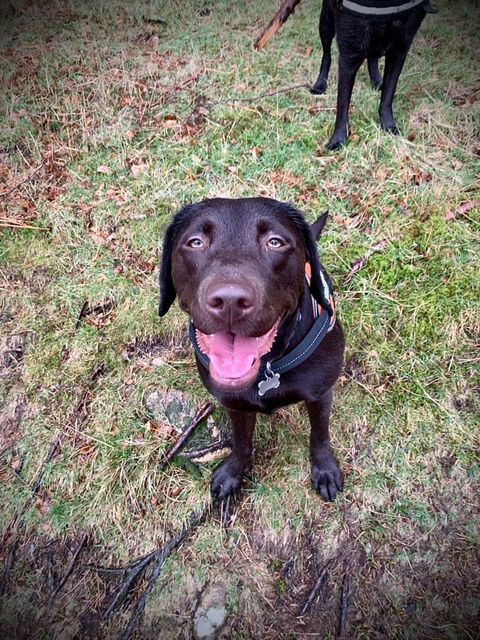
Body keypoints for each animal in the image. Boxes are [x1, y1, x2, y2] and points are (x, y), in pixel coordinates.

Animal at [312, 0, 436, 149]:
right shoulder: (349, 52)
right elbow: (342, 103)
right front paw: (339, 138)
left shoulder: (400, 51)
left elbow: (388, 95)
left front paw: (388, 125)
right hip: (326, 22)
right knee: (326, 54)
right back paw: (320, 84)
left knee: (372, 57)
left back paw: (376, 80)